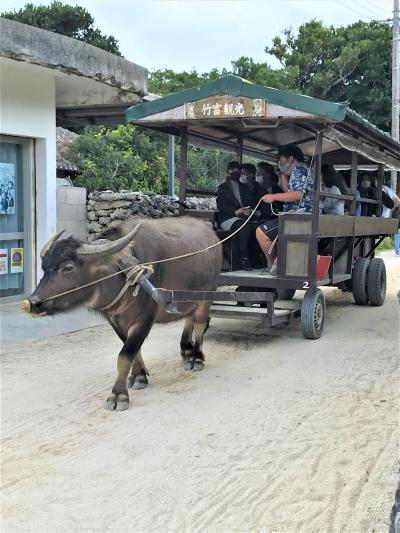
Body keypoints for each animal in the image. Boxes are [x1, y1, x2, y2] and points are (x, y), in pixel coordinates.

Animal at [22, 218, 222, 410]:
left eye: (68, 267)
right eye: (44, 266)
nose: (32, 302)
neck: (122, 274)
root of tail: (212, 236)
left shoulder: (144, 319)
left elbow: (125, 355)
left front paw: (118, 395)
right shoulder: (116, 321)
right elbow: (133, 350)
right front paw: (139, 376)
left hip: (206, 297)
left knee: (199, 324)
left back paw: (196, 357)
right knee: (188, 319)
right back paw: (186, 349)